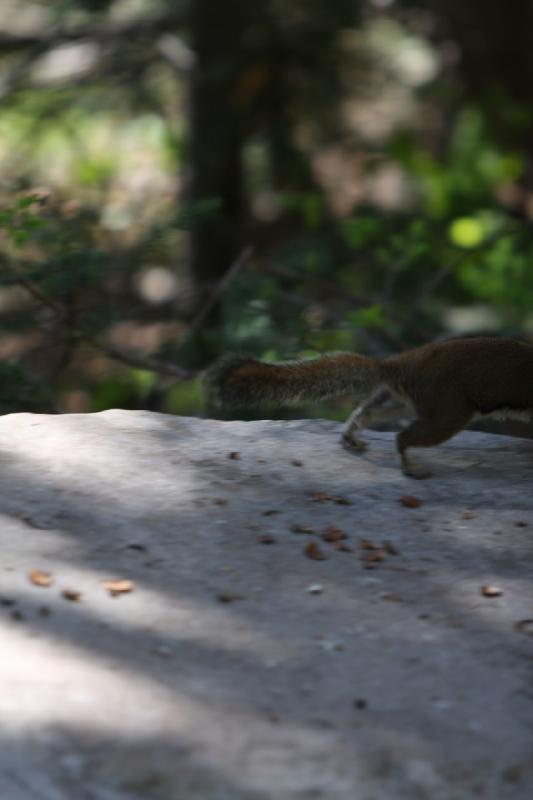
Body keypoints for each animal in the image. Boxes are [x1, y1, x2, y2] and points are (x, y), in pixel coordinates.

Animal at [207, 336, 532, 478]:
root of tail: (401, 364)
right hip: (448, 410)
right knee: (403, 436)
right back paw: (410, 467)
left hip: (400, 401)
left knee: (368, 411)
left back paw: (351, 437)